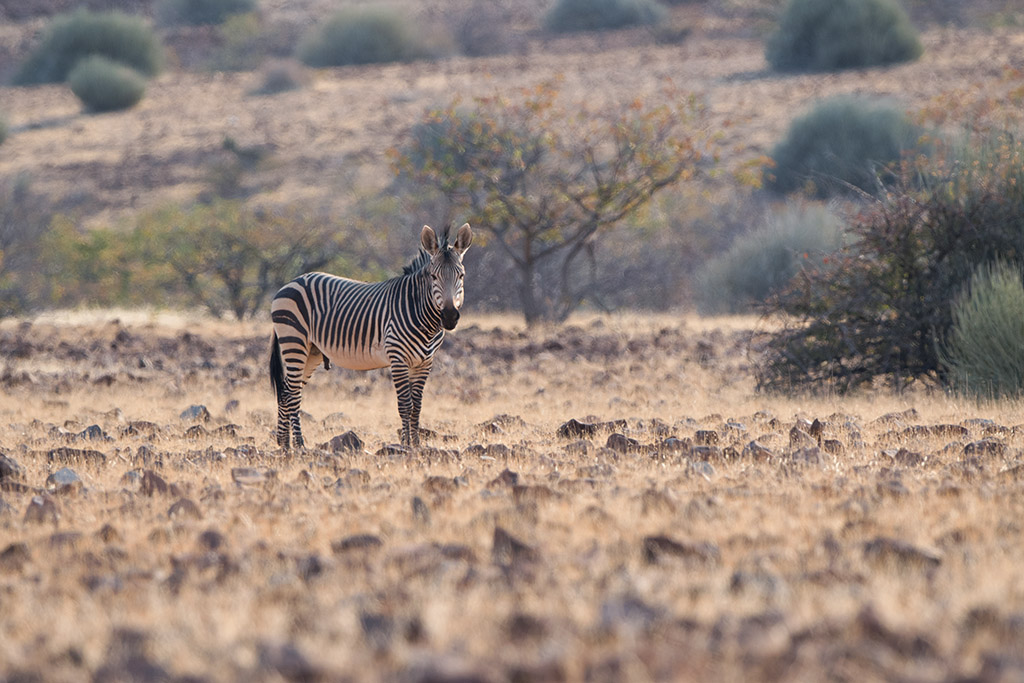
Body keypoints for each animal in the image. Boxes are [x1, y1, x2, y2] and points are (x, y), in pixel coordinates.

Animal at [269, 223, 473, 450]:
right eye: (433, 277)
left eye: (461, 276)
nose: (450, 316)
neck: (423, 317)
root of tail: (291, 282)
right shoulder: (398, 358)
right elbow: (405, 404)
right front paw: (405, 445)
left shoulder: (424, 362)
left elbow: (417, 406)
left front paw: (416, 445)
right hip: (294, 342)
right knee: (292, 395)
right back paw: (299, 445)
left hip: (311, 352)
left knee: (286, 391)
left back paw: (285, 444)